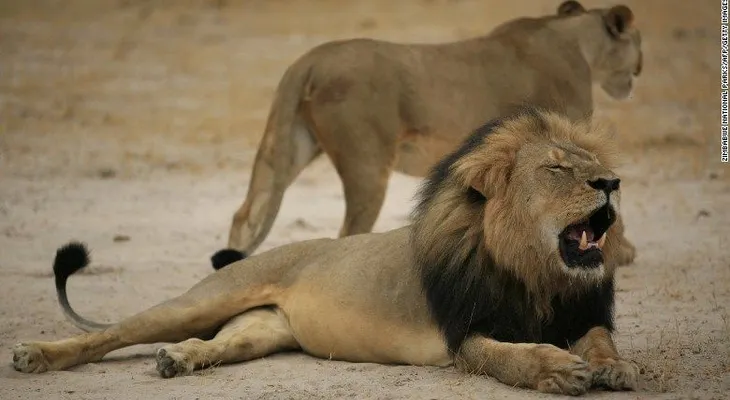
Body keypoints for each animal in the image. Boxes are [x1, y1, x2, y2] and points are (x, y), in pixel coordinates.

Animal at [13, 108, 639, 396]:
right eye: (557, 169)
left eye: (591, 163)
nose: (612, 182)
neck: (537, 274)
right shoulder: (464, 334)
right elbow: (510, 357)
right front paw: (557, 369)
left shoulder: (579, 312)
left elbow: (600, 339)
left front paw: (613, 367)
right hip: (203, 299)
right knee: (110, 334)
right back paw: (36, 355)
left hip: (260, 329)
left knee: (216, 343)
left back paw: (179, 360)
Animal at [211, 0, 643, 270]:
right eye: (637, 42)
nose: (639, 67)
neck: (577, 42)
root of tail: (308, 60)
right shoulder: (567, 134)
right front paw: (620, 252)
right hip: (367, 164)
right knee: (348, 232)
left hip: (289, 147)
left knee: (246, 213)